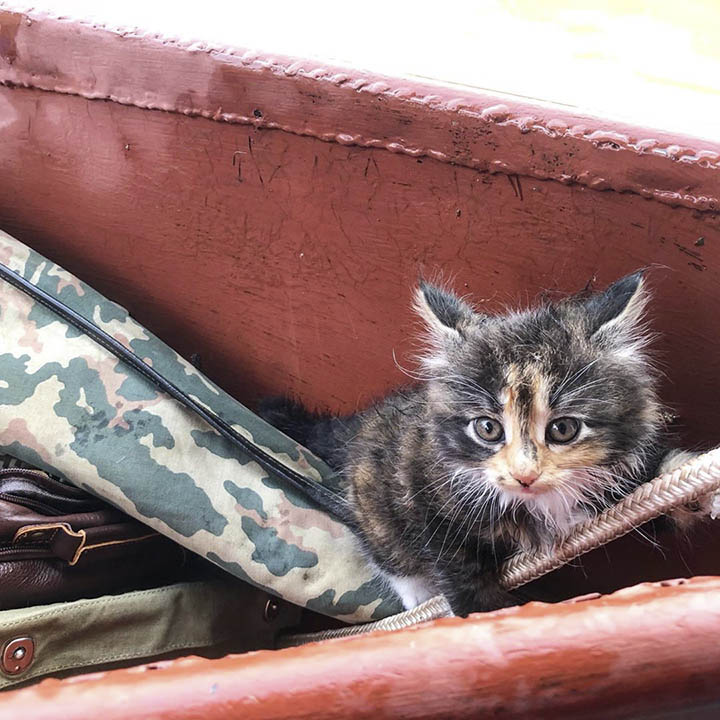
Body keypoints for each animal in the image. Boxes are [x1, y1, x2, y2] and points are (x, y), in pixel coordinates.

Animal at [262, 272, 704, 616]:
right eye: (488, 429)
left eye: (563, 429)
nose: (525, 475)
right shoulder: (422, 485)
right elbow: (455, 560)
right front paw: (486, 614)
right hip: (371, 489)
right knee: (387, 548)